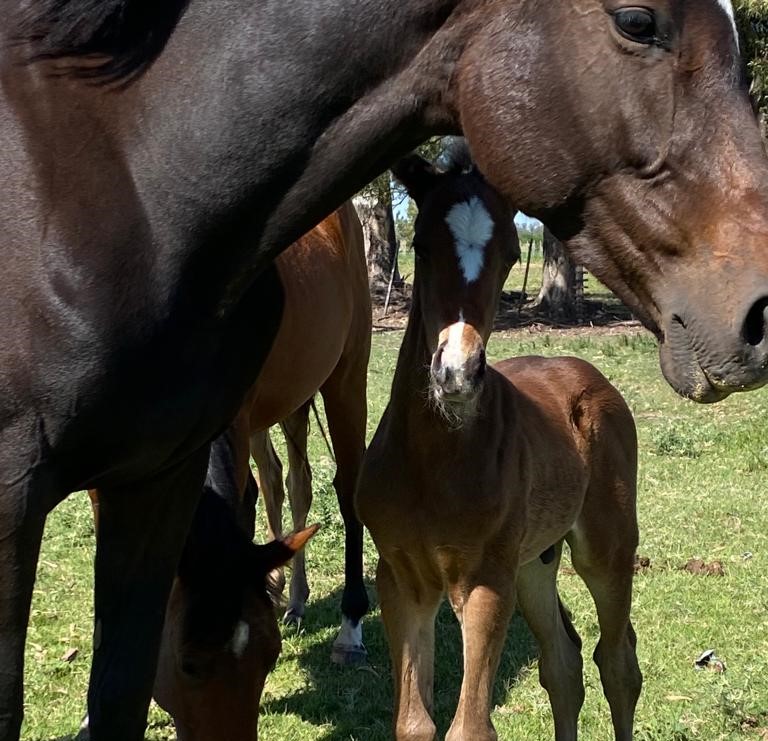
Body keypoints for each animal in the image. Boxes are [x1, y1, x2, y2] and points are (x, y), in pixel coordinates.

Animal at [356, 150, 641, 741]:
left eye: (510, 254)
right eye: (422, 244)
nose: (457, 373)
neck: (431, 462)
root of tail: (589, 374)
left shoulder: (486, 582)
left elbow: (470, 727)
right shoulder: (400, 579)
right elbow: (414, 723)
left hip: (605, 547)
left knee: (617, 661)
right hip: (533, 562)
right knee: (564, 662)